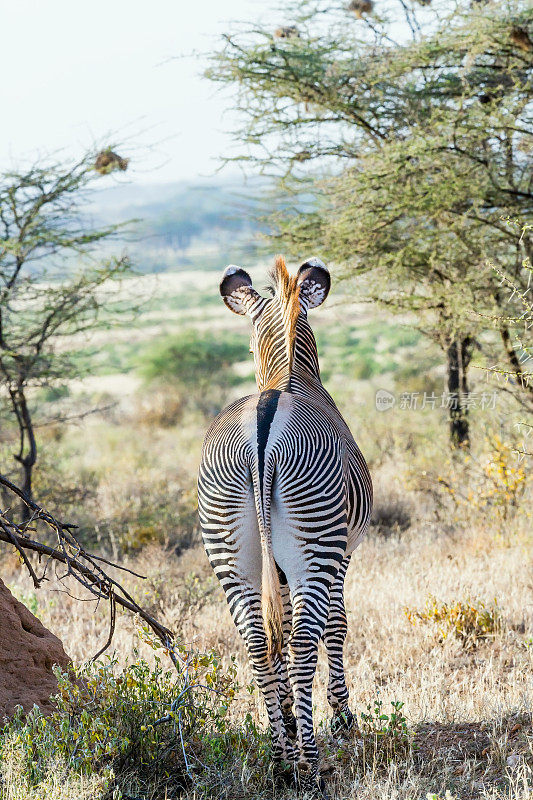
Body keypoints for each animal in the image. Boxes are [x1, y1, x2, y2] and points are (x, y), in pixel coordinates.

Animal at [197, 255, 372, 792]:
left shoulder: (279, 565)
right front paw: (341, 717)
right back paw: (311, 767)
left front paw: (293, 725)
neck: (284, 378)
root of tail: (264, 420)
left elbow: (280, 635)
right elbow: (335, 626)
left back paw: (279, 759)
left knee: (258, 642)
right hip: (316, 545)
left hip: (230, 549)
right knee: (303, 639)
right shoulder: (342, 552)